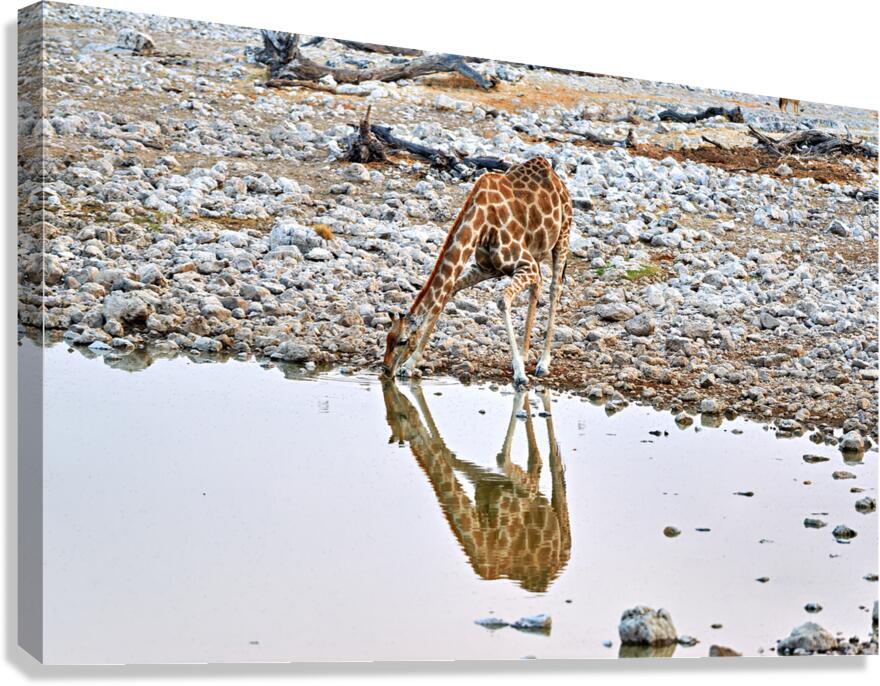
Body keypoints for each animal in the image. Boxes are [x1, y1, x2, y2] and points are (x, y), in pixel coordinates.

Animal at [382, 157, 573, 387]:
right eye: (387, 337)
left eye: (402, 341)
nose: (386, 370)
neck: (482, 224)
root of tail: (554, 175)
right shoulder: (486, 268)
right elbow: (448, 292)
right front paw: (409, 366)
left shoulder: (525, 264)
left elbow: (502, 301)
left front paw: (519, 374)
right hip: (536, 253)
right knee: (538, 284)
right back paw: (525, 354)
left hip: (562, 235)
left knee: (555, 288)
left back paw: (542, 364)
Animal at [382, 379, 571, 593]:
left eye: (400, 415)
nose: (387, 374)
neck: (484, 542)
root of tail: (559, 563)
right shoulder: (484, 487)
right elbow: (450, 455)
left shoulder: (520, 491)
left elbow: (502, 460)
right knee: (537, 460)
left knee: (552, 462)